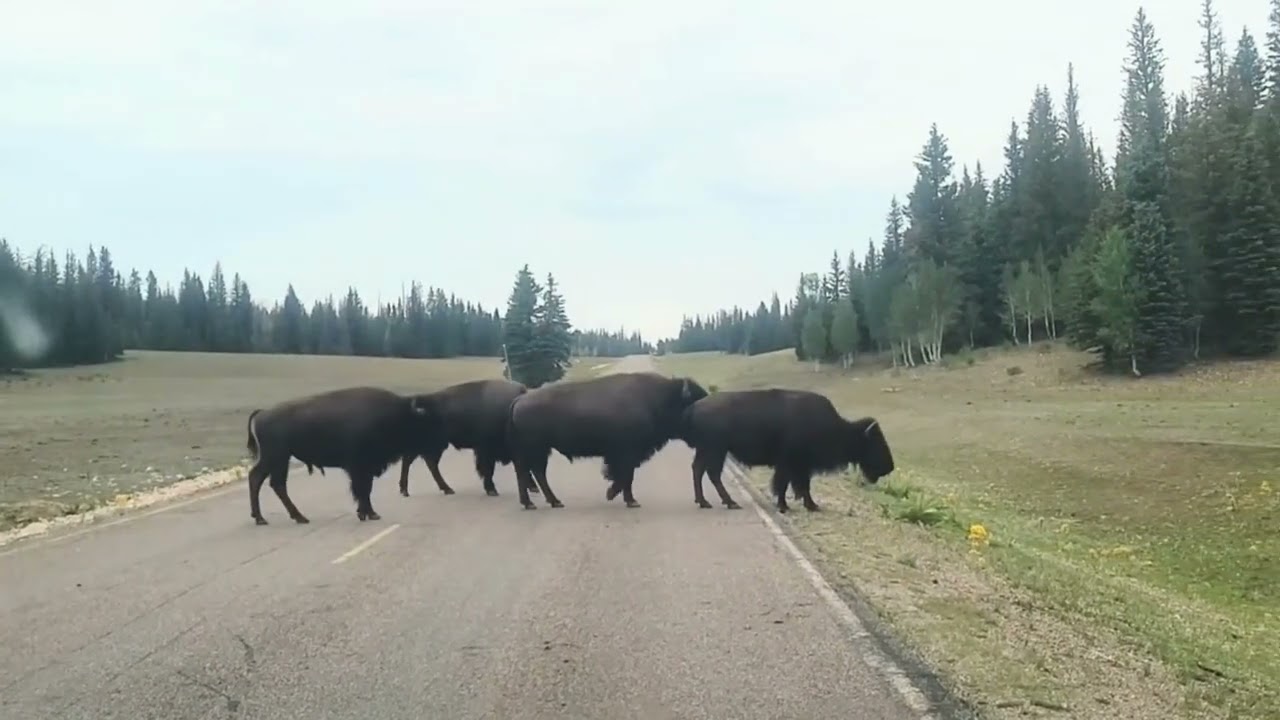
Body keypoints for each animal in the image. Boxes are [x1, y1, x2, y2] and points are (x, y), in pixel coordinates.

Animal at [244, 386, 440, 525]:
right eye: (422, 423)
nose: (433, 445)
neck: (396, 415)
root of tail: (263, 413)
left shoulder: (363, 469)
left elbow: (364, 490)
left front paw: (365, 513)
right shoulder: (360, 467)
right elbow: (363, 489)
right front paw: (370, 514)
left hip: (275, 460)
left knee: (259, 479)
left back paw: (263, 517)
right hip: (277, 458)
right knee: (273, 483)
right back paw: (294, 518)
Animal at [397, 378, 531, 498]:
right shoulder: (486, 450)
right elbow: (488, 469)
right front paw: (491, 490)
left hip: (435, 445)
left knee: (426, 463)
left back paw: (444, 489)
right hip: (429, 445)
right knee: (414, 461)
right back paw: (407, 490)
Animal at [505, 371, 708, 509]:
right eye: (694, 401)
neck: (658, 398)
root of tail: (520, 400)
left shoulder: (625, 455)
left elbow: (625, 476)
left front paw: (621, 497)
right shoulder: (626, 453)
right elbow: (626, 476)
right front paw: (624, 498)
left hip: (540, 450)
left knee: (535, 472)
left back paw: (552, 502)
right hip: (535, 448)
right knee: (528, 471)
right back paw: (534, 503)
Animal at [678, 388, 895, 513]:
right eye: (875, 443)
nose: (890, 467)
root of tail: (694, 407)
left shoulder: (801, 466)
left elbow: (802, 486)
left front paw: (812, 506)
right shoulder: (789, 463)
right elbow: (785, 485)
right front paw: (785, 506)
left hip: (708, 451)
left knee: (698, 470)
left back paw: (704, 501)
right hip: (716, 451)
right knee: (712, 473)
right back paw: (730, 503)